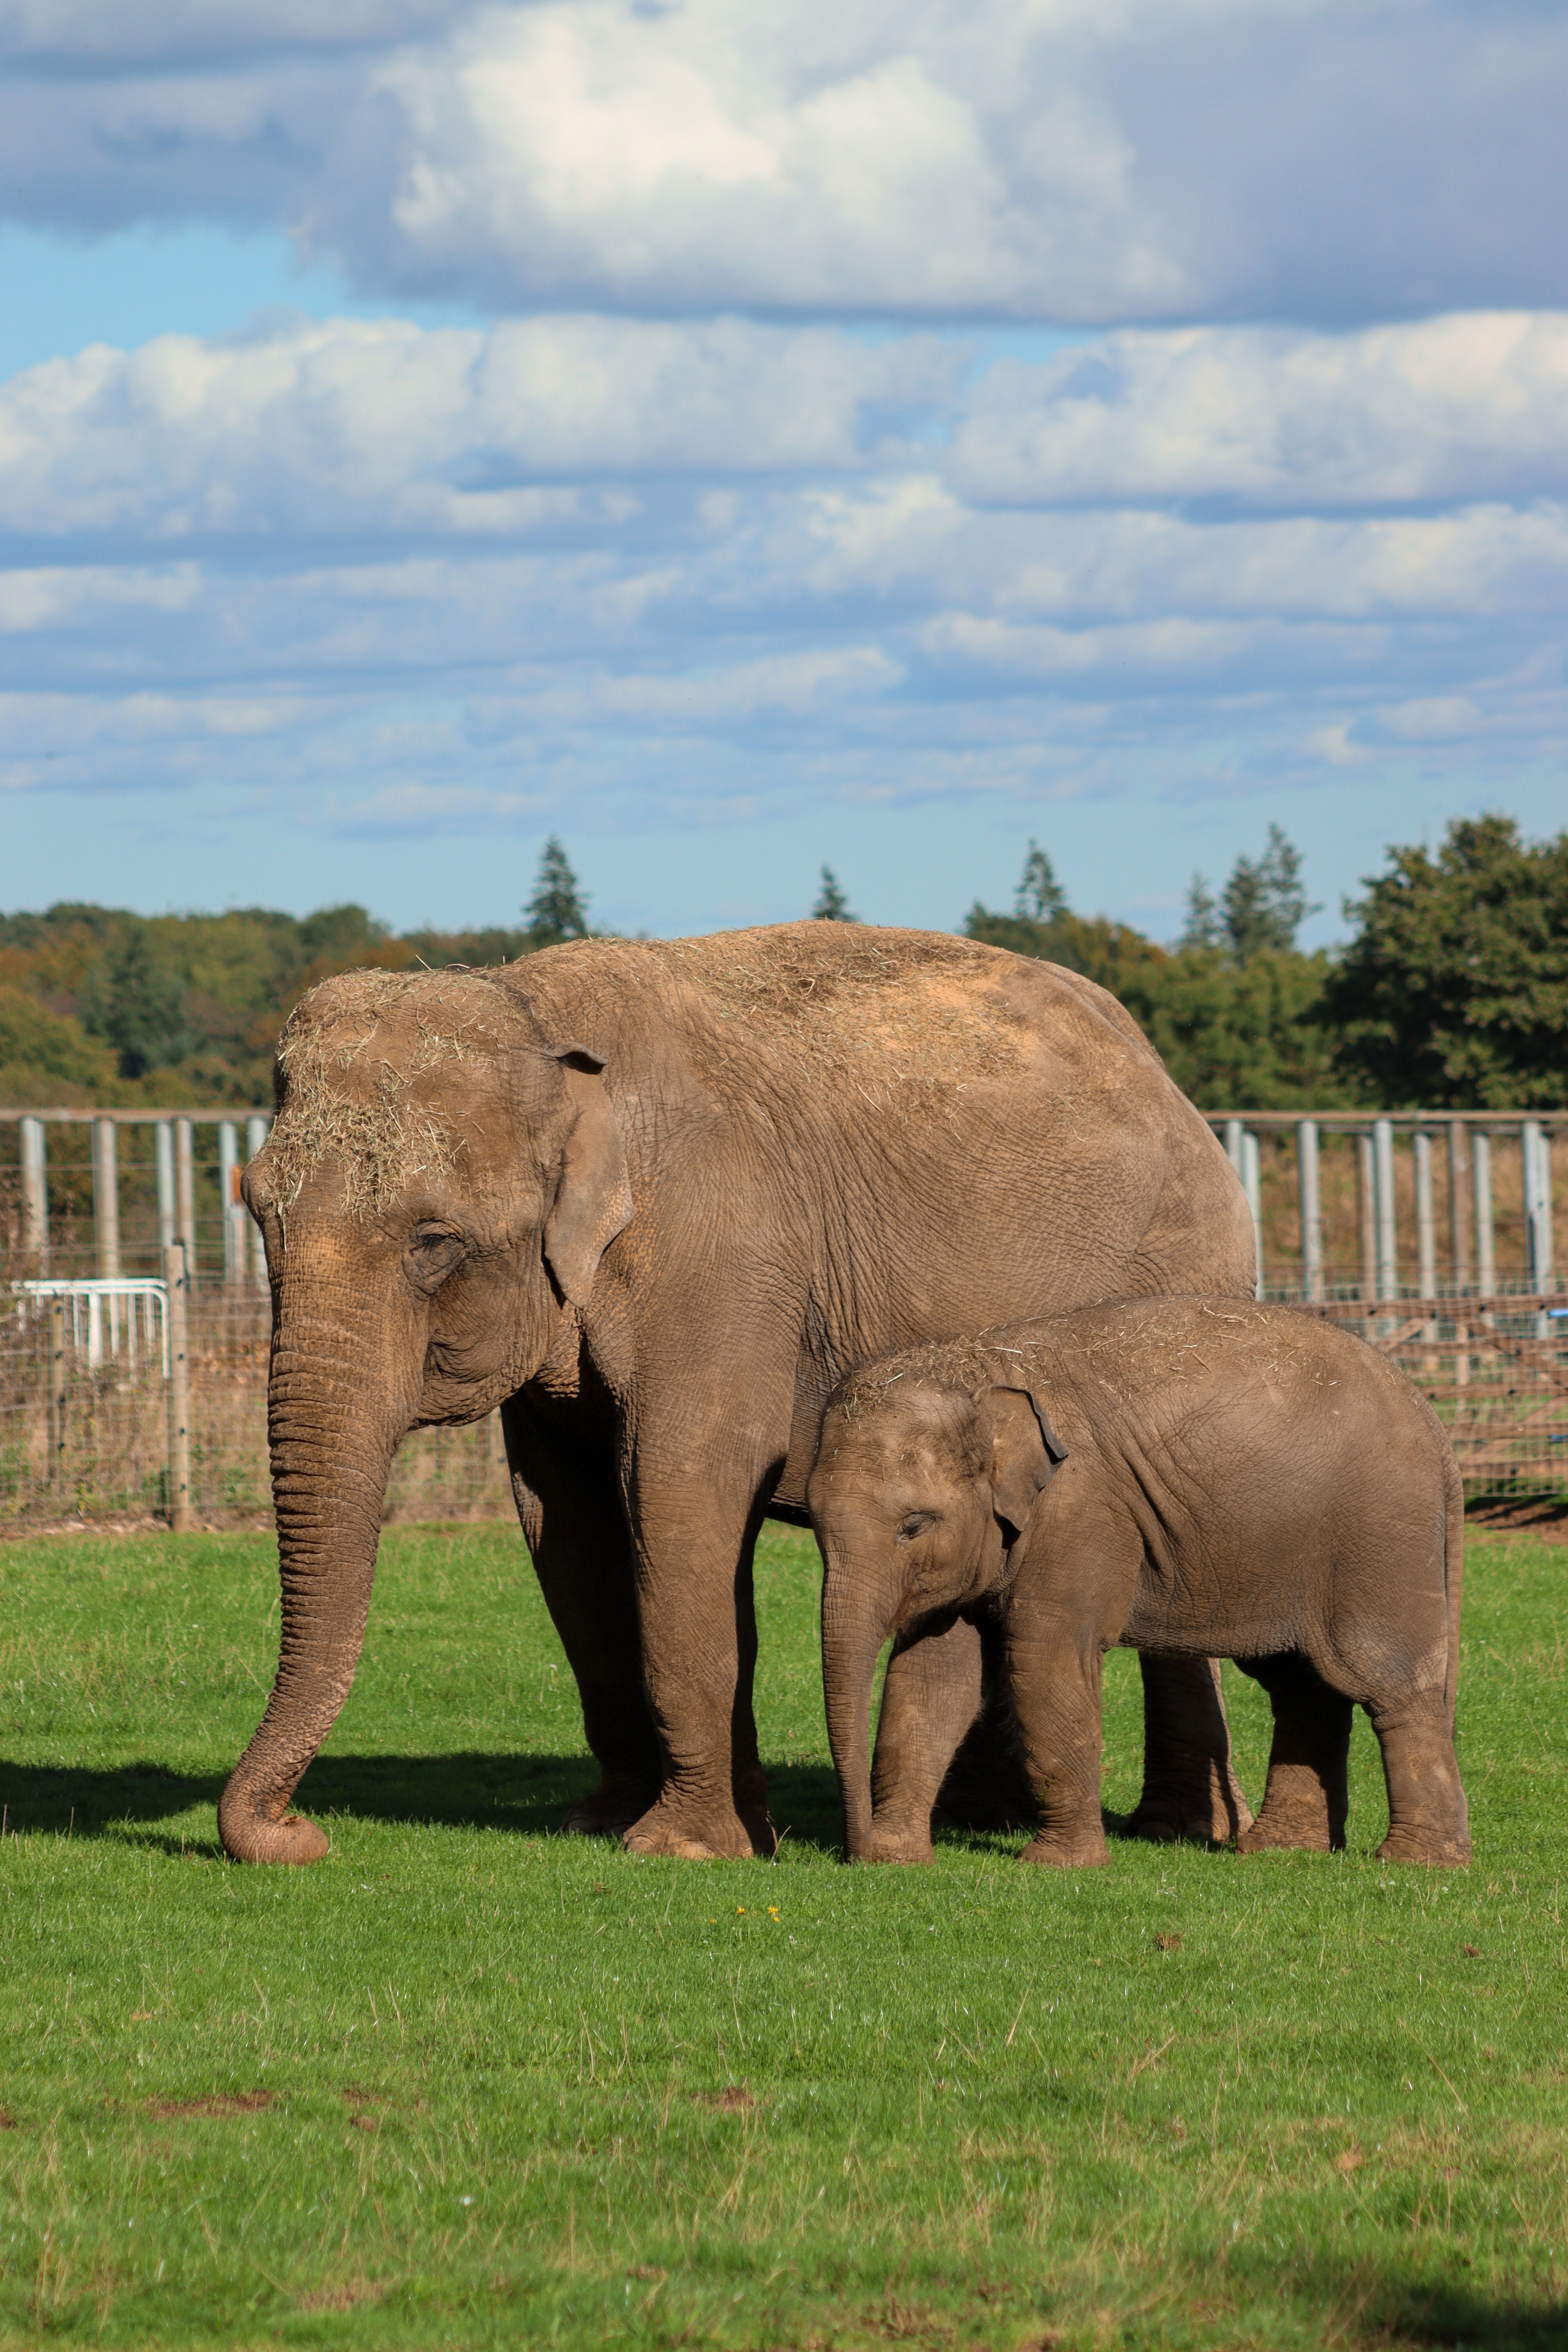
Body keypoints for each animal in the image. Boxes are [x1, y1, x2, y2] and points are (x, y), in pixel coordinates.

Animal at [220, 923, 1259, 1867]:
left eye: (433, 1241)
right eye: (256, 1210)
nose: (301, 1836)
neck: (538, 1013)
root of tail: (1164, 1079)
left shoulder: (724, 1253)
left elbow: (682, 1487)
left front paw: (684, 1849)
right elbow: (565, 1518)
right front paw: (603, 1824)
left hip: (1184, 1271)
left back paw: (1176, 1831)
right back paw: (984, 1818)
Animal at [809, 1296, 1470, 1871]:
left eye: (913, 1526)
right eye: (813, 1526)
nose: (855, 1853)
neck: (981, 1366)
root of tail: (1437, 1427)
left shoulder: (1082, 1513)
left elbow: (1047, 1660)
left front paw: (1058, 1866)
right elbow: (934, 1673)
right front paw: (899, 1859)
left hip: (1380, 1538)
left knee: (1387, 1683)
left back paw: (1417, 1862)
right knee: (1303, 1687)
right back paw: (1280, 1851)